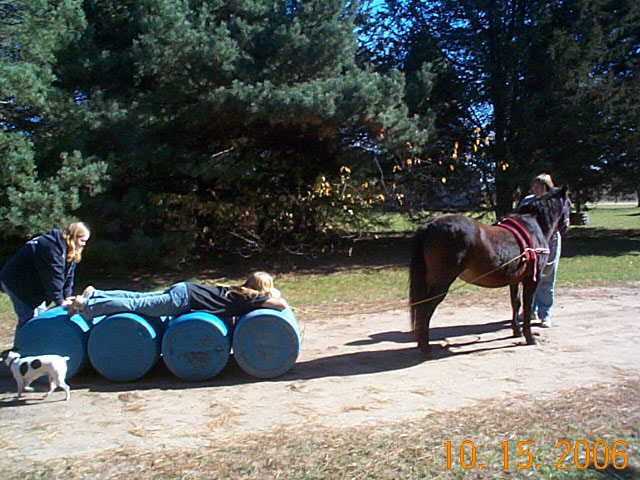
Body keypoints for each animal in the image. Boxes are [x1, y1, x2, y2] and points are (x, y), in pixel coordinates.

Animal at [410, 185, 568, 356]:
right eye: (569, 203)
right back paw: (426, 347)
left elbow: (516, 303)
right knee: (425, 309)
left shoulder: (515, 280)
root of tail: (428, 225)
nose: (566, 226)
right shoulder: (532, 279)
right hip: (442, 283)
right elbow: (527, 306)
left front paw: (517, 331)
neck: (534, 227)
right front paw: (530, 337)